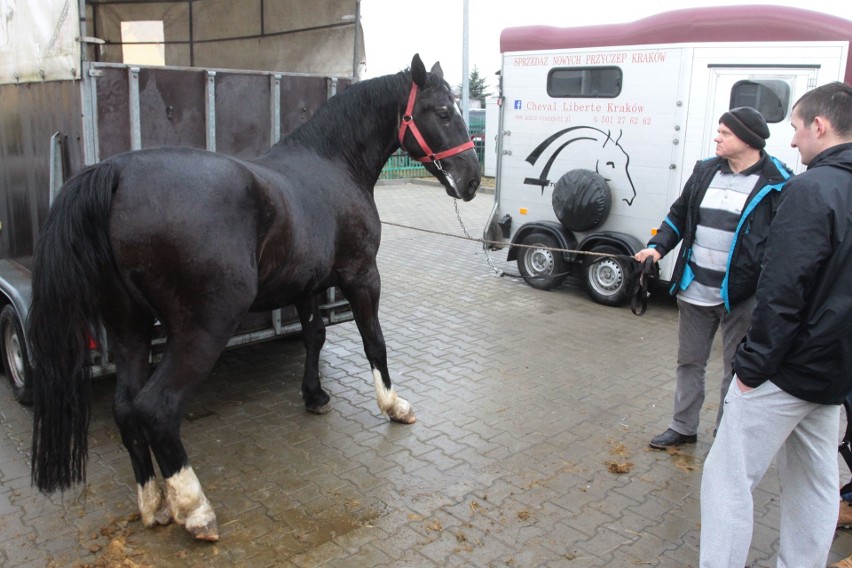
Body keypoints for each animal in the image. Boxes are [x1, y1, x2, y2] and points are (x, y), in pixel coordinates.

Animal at [26, 54, 480, 540]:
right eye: (443, 112)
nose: (472, 180)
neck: (332, 165)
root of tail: (118, 174)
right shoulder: (362, 276)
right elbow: (374, 343)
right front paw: (394, 406)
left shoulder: (306, 285)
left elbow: (314, 336)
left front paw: (314, 396)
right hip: (204, 328)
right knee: (156, 408)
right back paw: (195, 508)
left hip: (130, 327)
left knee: (126, 409)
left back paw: (154, 504)